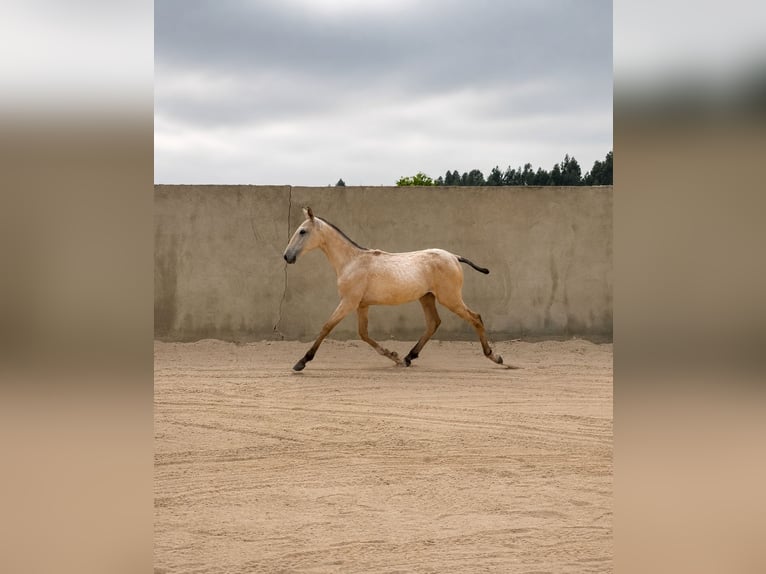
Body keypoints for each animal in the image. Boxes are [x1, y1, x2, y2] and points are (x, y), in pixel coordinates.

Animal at [282, 207, 507, 371]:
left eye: (302, 231)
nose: (287, 256)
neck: (351, 262)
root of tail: (454, 256)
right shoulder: (362, 305)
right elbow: (363, 334)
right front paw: (394, 357)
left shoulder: (348, 302)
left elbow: (327, 327)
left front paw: (301, 362)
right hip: (427, 297)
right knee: (433, 323)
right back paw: (408, 357)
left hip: (449, 298)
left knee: (475, 318)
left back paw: (495, 357)